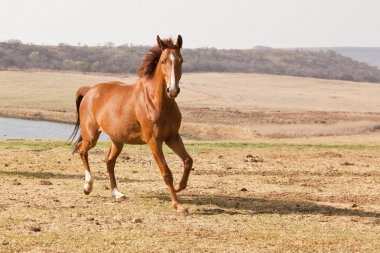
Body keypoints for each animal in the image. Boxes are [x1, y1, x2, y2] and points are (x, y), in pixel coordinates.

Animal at [68, 34, 193, 214]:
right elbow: (166, 172)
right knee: (82, 150)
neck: (157, 101)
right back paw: (88, 186)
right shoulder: (154, 141)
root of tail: (89, 90)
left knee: (109, 161)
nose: (173, 90)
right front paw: (178, 205)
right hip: (91, 136)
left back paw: (117, 193)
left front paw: (179, 186)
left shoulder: (172, 137)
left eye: (181, 60)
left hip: (117, 140)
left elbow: (188, 161)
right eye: (163, 61)